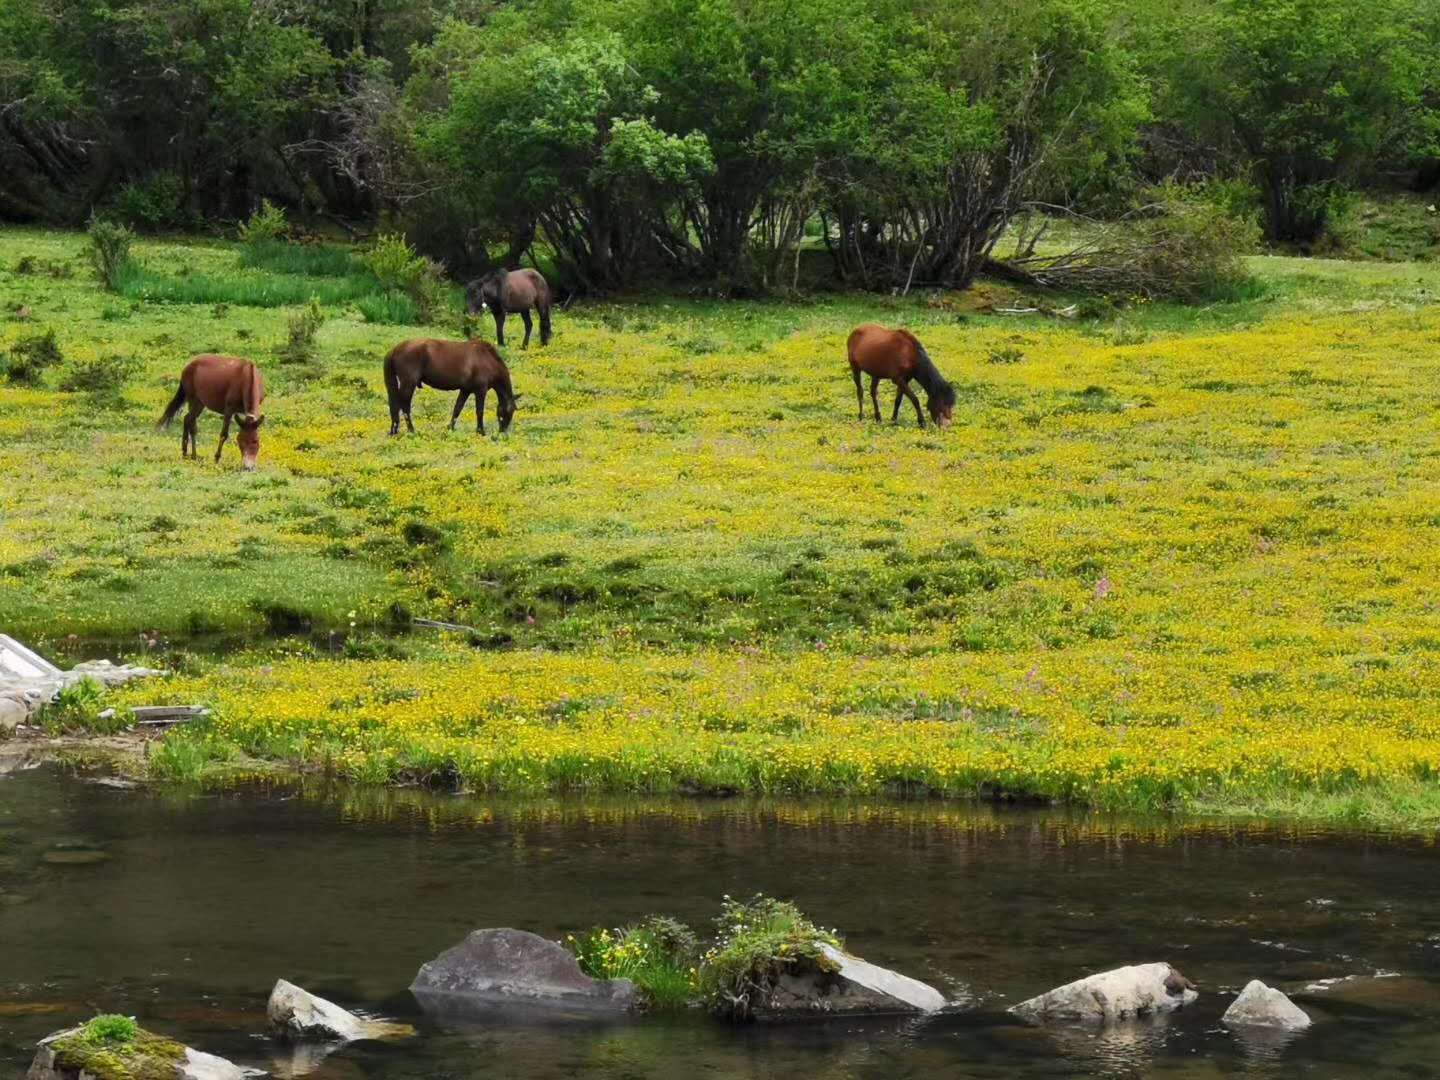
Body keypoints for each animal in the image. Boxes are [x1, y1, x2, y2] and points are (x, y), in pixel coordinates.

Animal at [380, 339, 521, 437]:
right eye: (509, 412)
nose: (503, 432)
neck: (487, 359)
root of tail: (395, 349)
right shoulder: (480, 390)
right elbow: (479, 411)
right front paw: (481, 431)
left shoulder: (465, 390)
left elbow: (457, 408)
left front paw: (450, 428)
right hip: (409, 384)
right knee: (404, 405)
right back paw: (411, 430)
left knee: (395, 405)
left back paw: (394, 430)